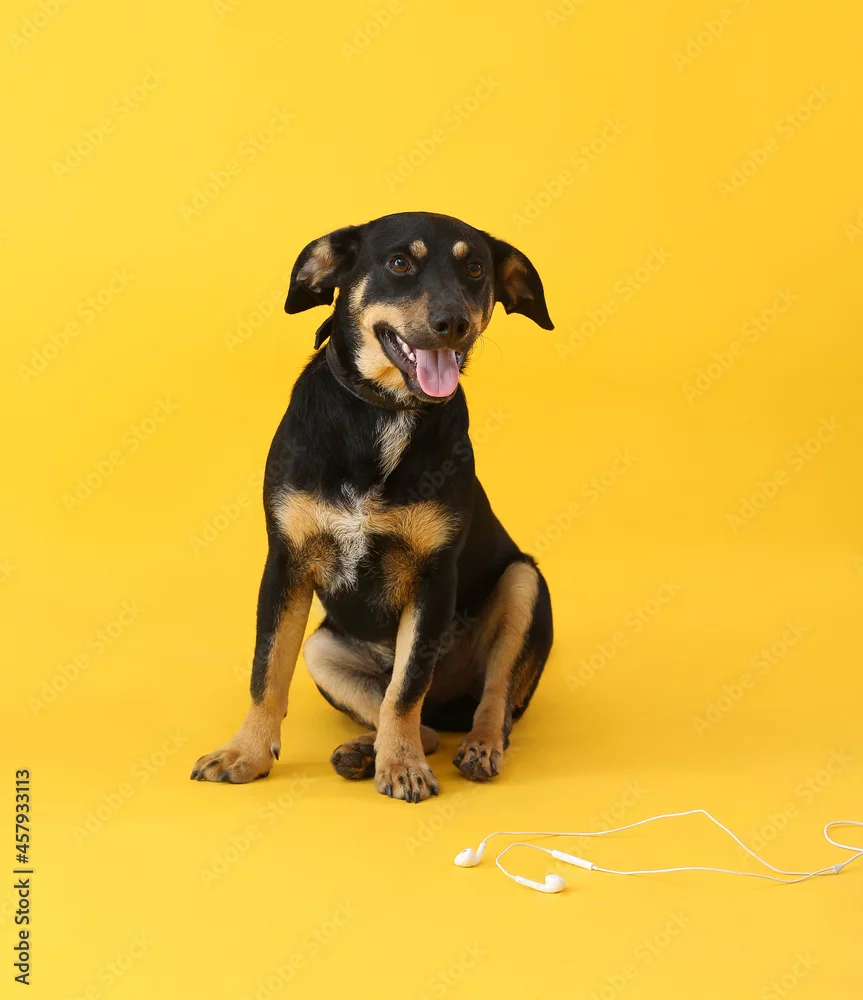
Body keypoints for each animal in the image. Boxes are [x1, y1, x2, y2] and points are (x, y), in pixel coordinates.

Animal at [191, 211, 554, 802]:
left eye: (476, 268)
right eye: (400, 263)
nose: (452, 322)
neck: (387, 412)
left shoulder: (433, 578)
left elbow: (405, 690)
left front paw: (401, 767)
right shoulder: (285, 563)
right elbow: (266, 672)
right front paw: (245, 753)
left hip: (525, 583)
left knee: (489, 704)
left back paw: (473, 747)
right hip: (324, 650)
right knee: (417, 721)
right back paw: (363, 751)